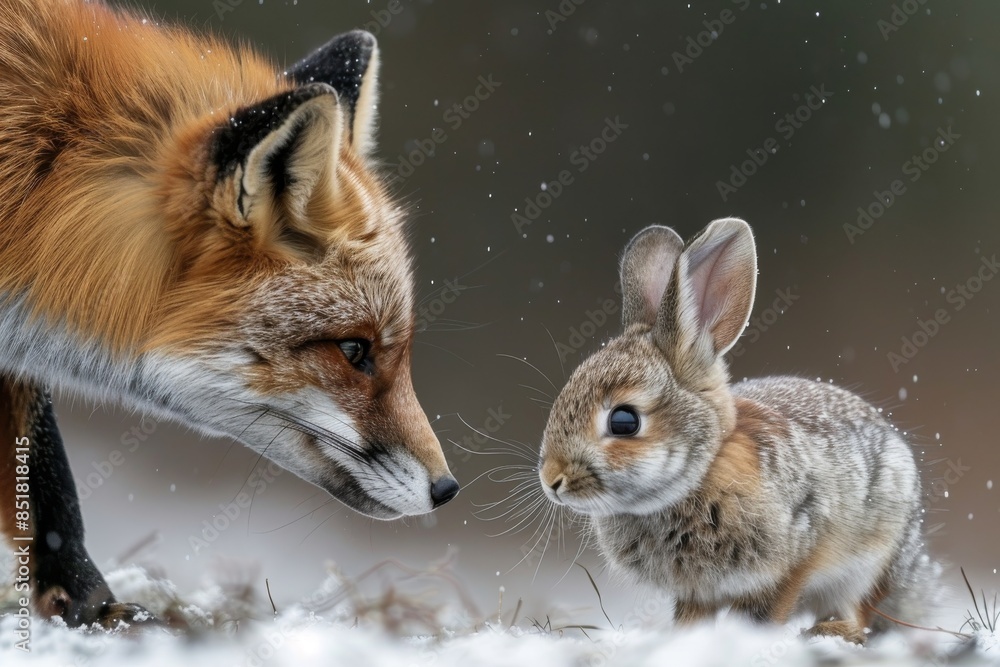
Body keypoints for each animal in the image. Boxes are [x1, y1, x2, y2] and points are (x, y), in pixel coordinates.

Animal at [0, 0, 459, 628]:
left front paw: (88, 607)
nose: (448, 489)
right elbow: (52, 477)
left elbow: (45, 487)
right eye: (353, 349)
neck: (36, 175)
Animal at [538, 218, 936, 644]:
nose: (551, 480)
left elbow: (769, 610)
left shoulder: (791, 559)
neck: (703, 470)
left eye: (624, 421)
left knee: (861, 615)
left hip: (871, 562)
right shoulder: (696, 592)